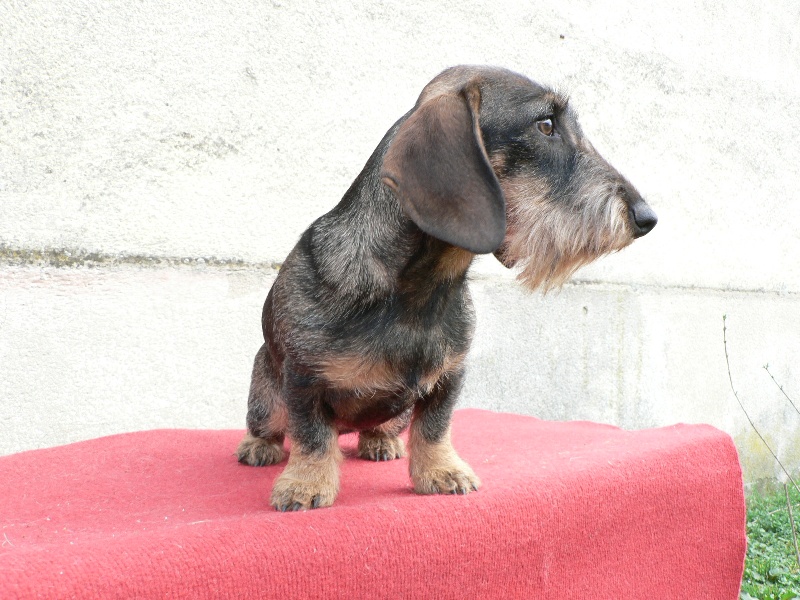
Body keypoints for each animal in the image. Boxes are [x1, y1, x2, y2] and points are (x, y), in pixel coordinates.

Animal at [236, 67, 656, 510]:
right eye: (545, 125)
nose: (646, 217)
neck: (424, 288)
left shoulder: (450, 376)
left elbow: (434, 427)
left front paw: (441, 471)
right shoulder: (303, 381)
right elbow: (312, 436)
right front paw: (305, 484)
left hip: (396, 413)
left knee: (385, 427)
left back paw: (380, 440)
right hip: (265, 397)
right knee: (270, 426)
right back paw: (259, 446)